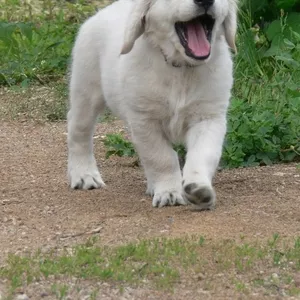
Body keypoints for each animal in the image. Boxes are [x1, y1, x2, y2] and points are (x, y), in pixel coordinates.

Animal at [67, 0, 237, 209]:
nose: (204, 1)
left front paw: (199, 188)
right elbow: (161, 157)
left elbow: (202, 154)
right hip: (86, 90)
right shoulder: (145, 120)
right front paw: (169, 191)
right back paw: (84, 175)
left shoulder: (208, 118)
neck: (181, 69)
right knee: (79, 133)